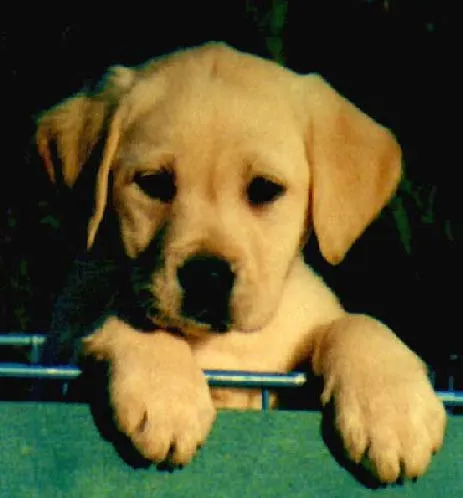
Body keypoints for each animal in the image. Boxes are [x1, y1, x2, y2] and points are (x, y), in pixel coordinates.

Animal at [36, 42, 446, 482]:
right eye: (153, 183)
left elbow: (355, 323)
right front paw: (165, 394)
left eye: (265, 189)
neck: (221, 344)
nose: (207, 276)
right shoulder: (61, 348)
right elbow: (132, 312)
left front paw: (393, 410)